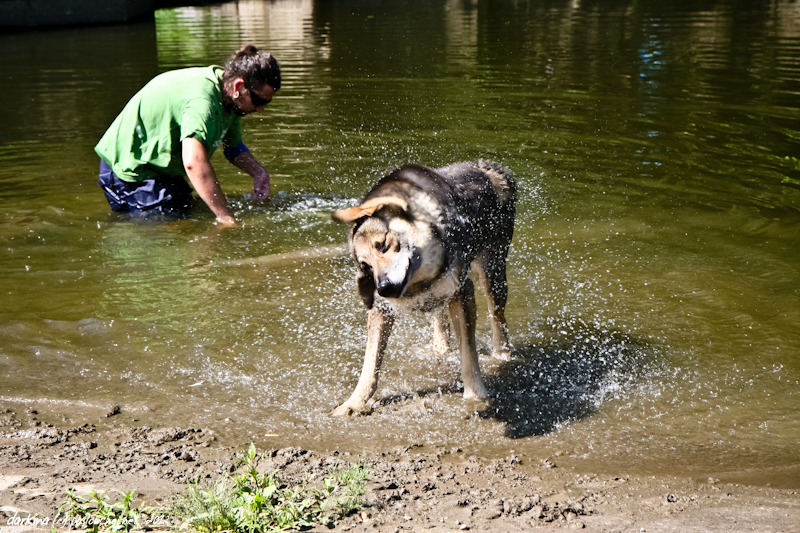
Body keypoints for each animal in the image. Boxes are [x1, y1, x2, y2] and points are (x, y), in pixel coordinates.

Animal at [328, 159, 516, 416]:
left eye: (383, 244)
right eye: (366, 266)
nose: (383, 287)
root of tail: (484, 167)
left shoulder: (463, 291)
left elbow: (469, 355)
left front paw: (475, 397)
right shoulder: (381, 309)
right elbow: (370, 364)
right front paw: (354, 403)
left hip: (493, 276)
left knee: (498, 318)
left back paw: (502, 355)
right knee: (440, 322)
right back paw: (440, 349)